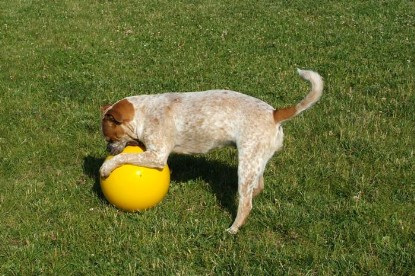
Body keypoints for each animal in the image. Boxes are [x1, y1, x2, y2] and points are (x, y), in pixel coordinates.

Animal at [99, 69, 324, 233]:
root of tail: (274, 113)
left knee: (246, 204)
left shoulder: (157, 155)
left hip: (247, 163)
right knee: (257, 188)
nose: (108, 148)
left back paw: (232, 230)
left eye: (110, 138)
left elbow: (125, 156)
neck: (143, 113)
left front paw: (106, 167)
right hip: (256, 160)